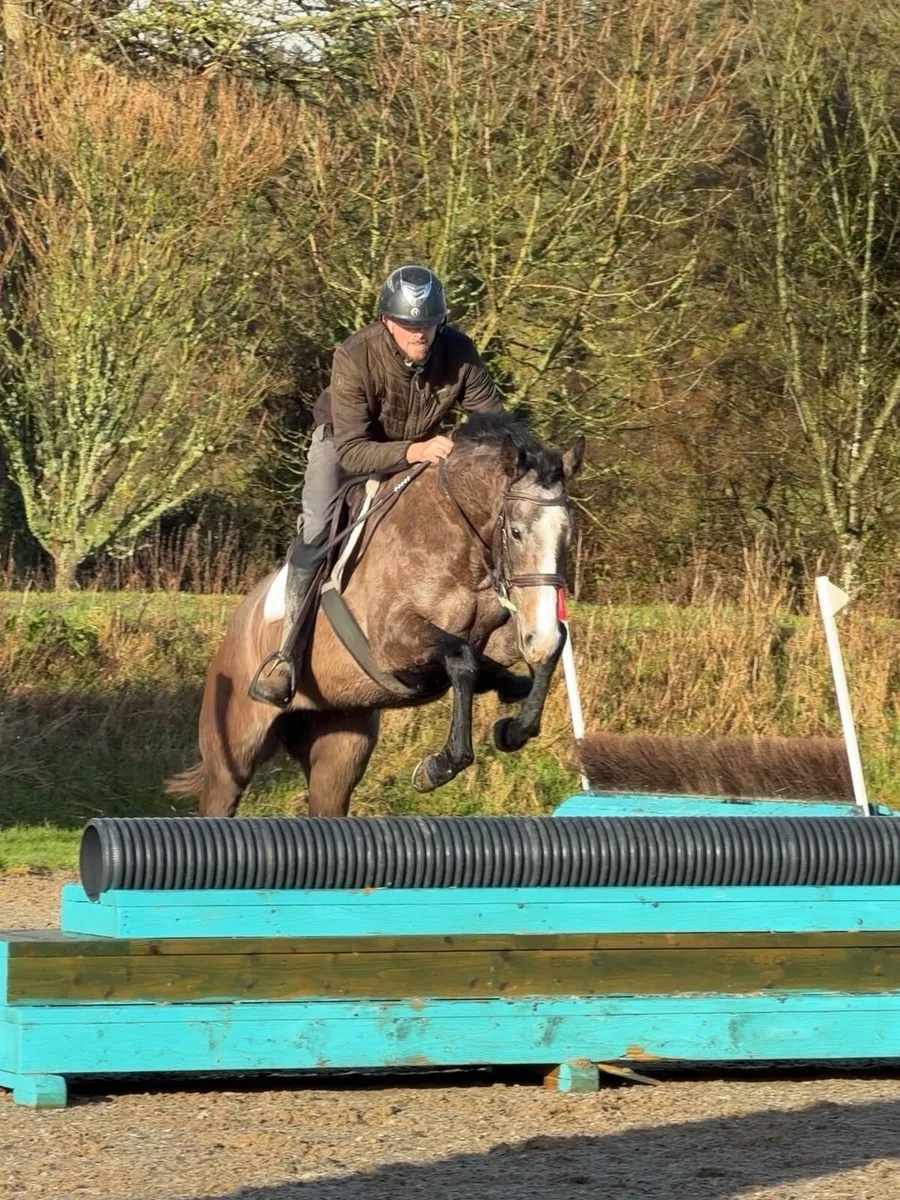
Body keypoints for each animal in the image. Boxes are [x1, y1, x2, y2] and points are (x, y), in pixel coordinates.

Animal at [166, 412, 585, 818]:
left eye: (568, 536)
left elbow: (552, 645)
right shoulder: (391, 642)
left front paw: (514, 729)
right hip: (234, 754)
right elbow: (462, 659)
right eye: (515, 532)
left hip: (339, 749)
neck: (455, 541)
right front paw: (440, 766)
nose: (537, 635)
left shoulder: (503, 635)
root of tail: (232, 635)